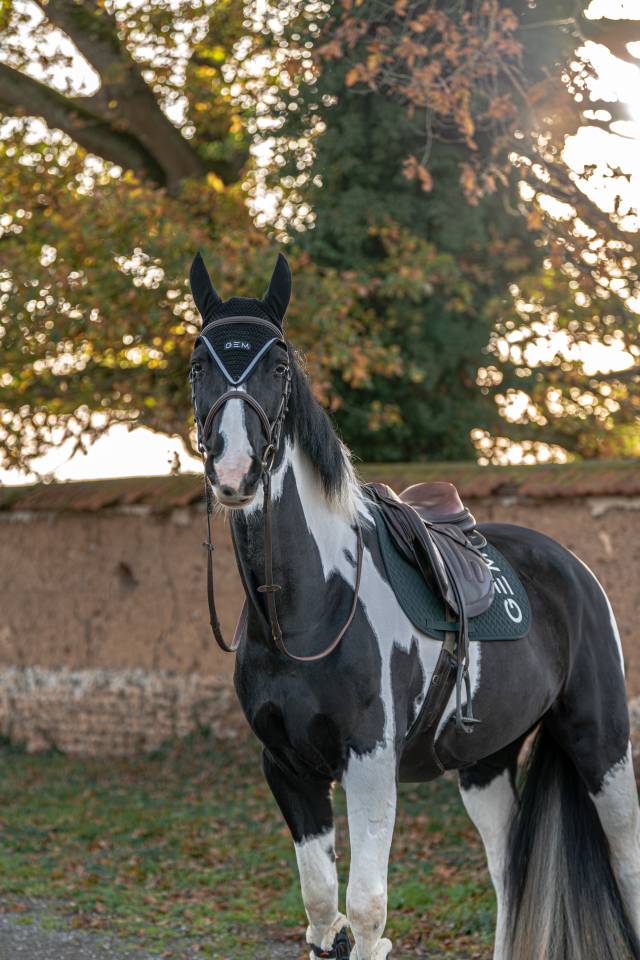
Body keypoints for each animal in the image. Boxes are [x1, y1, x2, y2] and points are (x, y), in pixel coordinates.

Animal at [188, 250, 640, 960]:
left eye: (279, 366)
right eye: (199, 365)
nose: (235, 473)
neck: (308, 611)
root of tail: (572, 569)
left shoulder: (371, 765)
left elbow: (367, 914)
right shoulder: (287, 770)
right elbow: (323, 912)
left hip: (603, 745)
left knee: (627, 866)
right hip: (484, 763)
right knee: (507, 872)